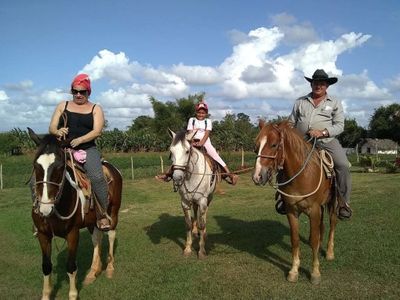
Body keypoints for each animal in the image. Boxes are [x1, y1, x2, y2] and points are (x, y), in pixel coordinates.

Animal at [28, 129, 122, 300]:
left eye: (60, 166)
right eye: (36, 165)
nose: (45, 208)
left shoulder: (72, 233)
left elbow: (71, 266)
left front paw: (72, 295)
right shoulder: (43, 235)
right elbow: (46, 266)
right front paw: (46, 295)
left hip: (113, 211)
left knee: (111, 234)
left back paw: (110, 268)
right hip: (94, 220)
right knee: (96, 238)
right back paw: (93, 271)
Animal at [168, 128, 217, 258]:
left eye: (187, 151)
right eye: (171, 151)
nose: (177, 177)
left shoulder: (203, 200)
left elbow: (202, 223)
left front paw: (201, 251)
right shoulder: (184, 202)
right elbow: (188, 224)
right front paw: (188, 248)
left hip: (209, 198)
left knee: (204, 215)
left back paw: (203, 233)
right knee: (195, 212)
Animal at [253, 119, 338, 284]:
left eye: (274, 144)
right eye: (256, 146)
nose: (258, 177)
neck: (302, 175)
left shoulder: (314, 210)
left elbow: (313, 241)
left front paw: (315, 273)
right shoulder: (292, 211)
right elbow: (295, 240)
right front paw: (293, 271)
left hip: (332, 203)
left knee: (332, 223)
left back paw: (330, 252)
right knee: (322, 227)